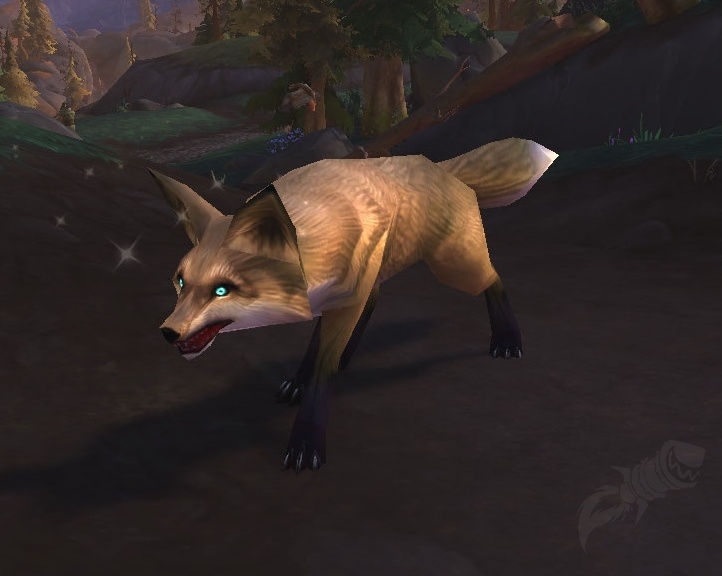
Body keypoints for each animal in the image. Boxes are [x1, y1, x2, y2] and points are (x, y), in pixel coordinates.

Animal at [150, 137, 557, 473]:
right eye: (180, 282)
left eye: (223, 290)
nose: (168, 332)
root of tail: (439, 167)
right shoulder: (336, 296)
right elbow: (316, 349)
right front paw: (299, 382)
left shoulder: (344, 293)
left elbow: (322, 367)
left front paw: (306, 443)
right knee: (374, 299)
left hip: (454, 266)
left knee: (494, 280)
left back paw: (508, 340)